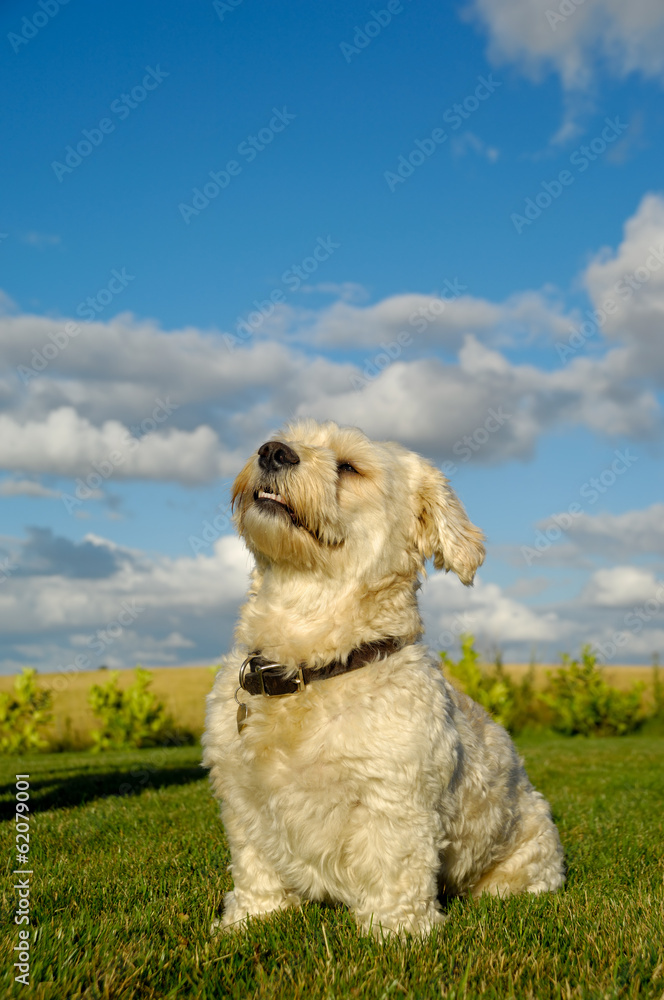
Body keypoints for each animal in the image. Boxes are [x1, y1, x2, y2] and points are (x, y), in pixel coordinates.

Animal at [201, 416, 560, 936]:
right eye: (290, 436)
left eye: (350, 467)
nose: (272, 451)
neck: (311, 665)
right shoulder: (243, 798)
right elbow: (255, 867)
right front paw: (249, 919)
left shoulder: (393, 799)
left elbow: (394, 869)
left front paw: (399, 933)